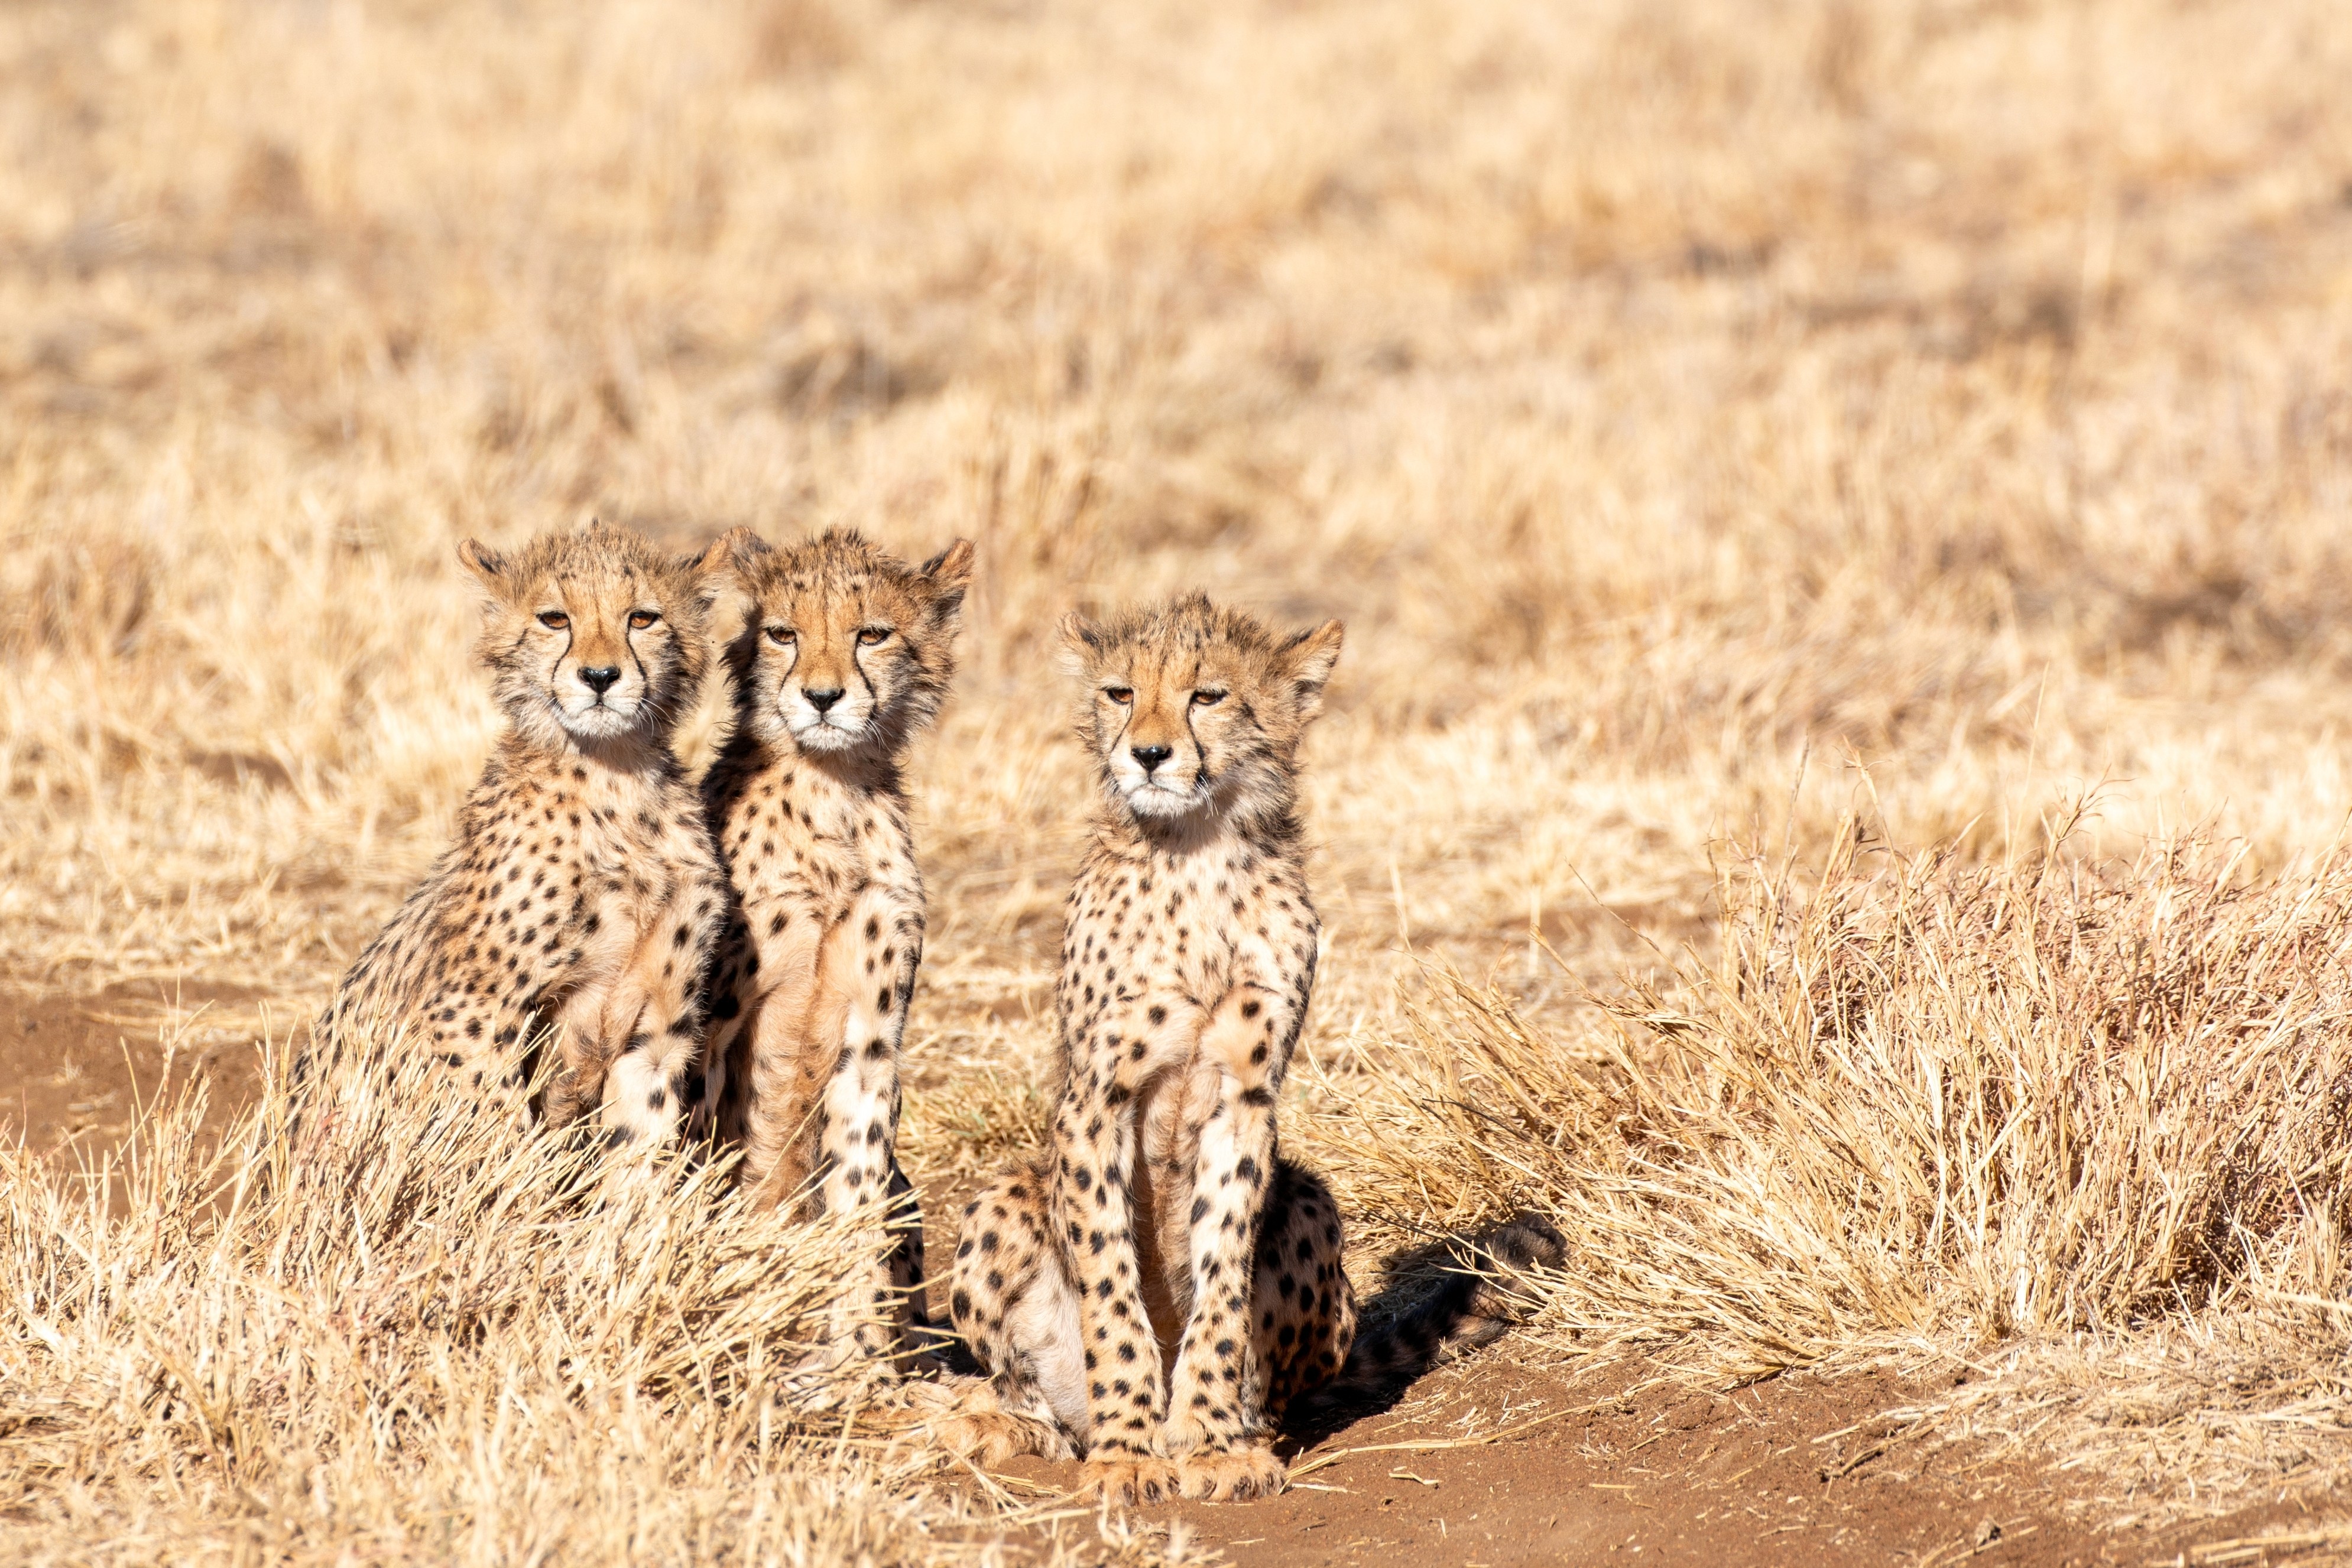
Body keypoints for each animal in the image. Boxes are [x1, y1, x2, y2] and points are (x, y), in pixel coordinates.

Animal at [304, 520, 733, 1147]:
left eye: (642, 618)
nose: (600, 677)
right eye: (554, 619)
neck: (615, 773)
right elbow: (498, 1128)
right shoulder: (471, 1011)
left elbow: (640, 1144)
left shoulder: (656, 1029)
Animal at [690, 526, 974, 1360]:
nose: (822, 697)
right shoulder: (710, 1026)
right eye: (783, 634)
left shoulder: (872, 1037)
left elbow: (857, 1184)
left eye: (870, 634)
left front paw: (857, 1344)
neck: (831, 789)